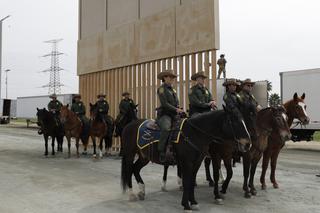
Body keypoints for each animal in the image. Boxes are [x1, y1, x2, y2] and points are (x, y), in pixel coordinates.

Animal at [121, 109, 251, 212]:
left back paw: (142, 191)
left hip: (144, 157)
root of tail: (128, 125)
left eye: (244, 120)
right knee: (129, 170)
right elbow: (187, 182)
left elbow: (192, 182)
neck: (194, 133)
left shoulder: (197, 162)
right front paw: (186, 205)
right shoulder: (187, 163)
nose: (248, 143)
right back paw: (132, 194)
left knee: (135, 169)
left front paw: (193, 202)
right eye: (234, 121)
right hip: (129, 154)